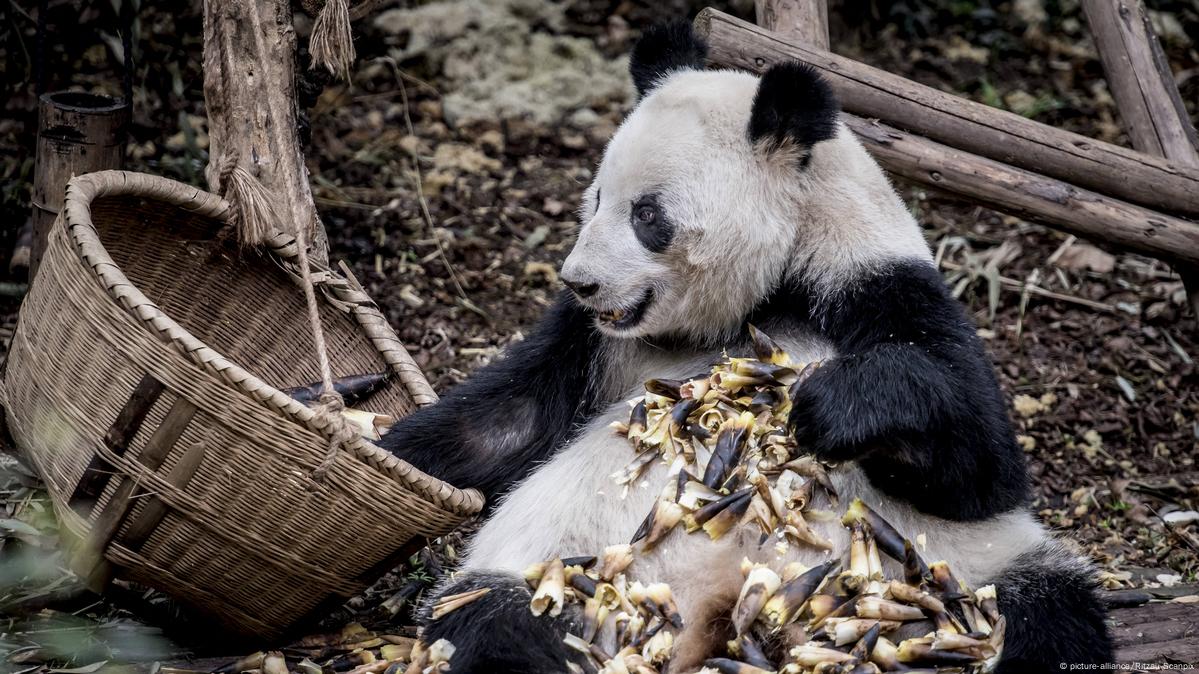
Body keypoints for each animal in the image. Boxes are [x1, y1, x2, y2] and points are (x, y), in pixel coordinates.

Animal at [378, 19, 1107, 671]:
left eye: (647, 215)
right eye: (595, 199)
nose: (579, 281)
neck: (765, 293)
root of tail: (730, 609)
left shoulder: (879, 289)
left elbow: (980, 466)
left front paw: (836, 407)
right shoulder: (597, 343)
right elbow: (506, 420)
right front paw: (383, 457)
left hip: (959, 572)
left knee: (1048, 613)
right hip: (559, 572)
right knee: (494, 622)